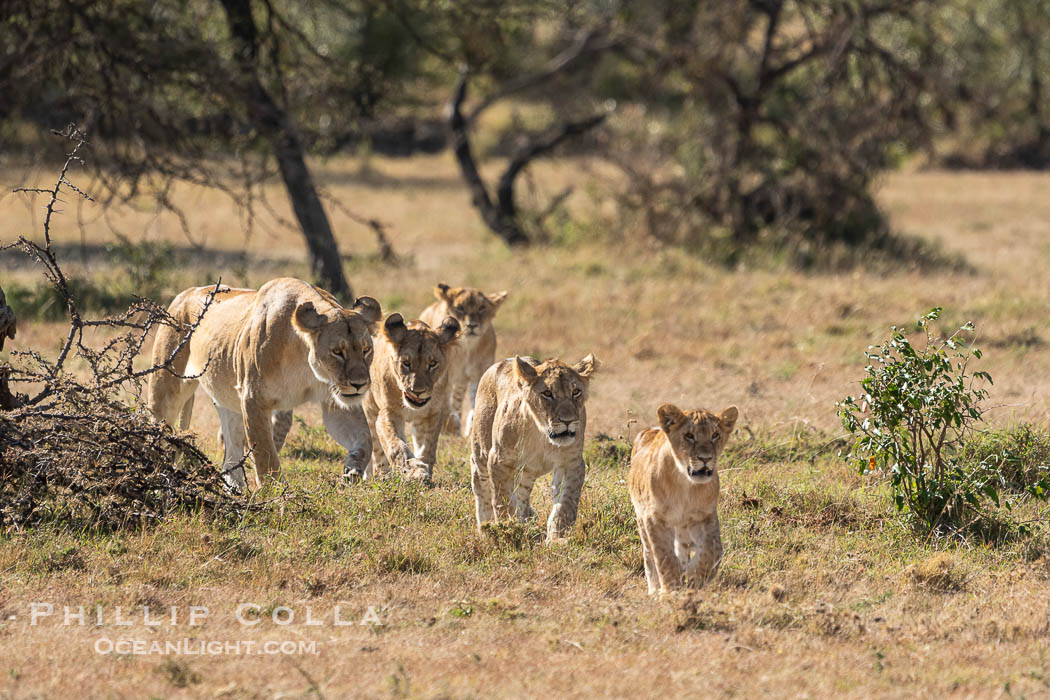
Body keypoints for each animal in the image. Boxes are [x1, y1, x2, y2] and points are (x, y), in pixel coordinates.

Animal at [147, 278, 381, 491]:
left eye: (366, 350)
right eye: (337, 352)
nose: (360, 384)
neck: (304, 360)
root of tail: (184, 293)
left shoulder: (335, 400)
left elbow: (365, 441)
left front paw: (351, 474)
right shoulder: (253, 398)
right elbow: (265, 457)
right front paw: (278, 496)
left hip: (228, 400)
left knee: (231, 449)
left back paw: (236, 491)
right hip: (165, 390)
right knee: (157, 432)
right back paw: (155, 479)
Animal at [360, 312, 460, 483]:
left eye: (432, 364)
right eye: (406, 363)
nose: (417, 391)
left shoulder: (432, 415)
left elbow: (427, 449)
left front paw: (425, 472)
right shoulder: (388, 414)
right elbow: (397, 446)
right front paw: (413, 471)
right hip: (370, 409)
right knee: (376, 447)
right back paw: (380, 474)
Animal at [419, 283, 507, 436]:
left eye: (481, 308)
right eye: (460, 308)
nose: (471, 325)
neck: (466, 348)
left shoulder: (479, 373)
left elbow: (476, 401)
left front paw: (472, 428)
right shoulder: (443, 376)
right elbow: (445, 406)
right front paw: (450, 430)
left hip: (460, 382)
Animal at [469, 354, 599, 543]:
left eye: (576, 392)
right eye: (547, 393)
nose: (567, 421)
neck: (542, 435)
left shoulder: (571, 462)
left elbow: (565, 504)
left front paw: (557, 538)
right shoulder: (499, 461)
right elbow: (503, 501)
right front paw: (508, 530)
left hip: (529, 470)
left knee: (522, 492)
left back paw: (528, 519)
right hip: (481, 449)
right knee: (480, 482)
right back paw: (485, 526)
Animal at [628, 403, 739, 594]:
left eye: (715, 435)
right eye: (689, 436)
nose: (705, 458)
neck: (685, 486)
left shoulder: (705, 516)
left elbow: (713, 550)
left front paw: (695, 577)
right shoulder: (654, 519)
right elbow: (664, 556)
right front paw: (671, 589)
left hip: (682, 530)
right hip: (641, 520)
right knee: (649, 555)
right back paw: (654, 589)